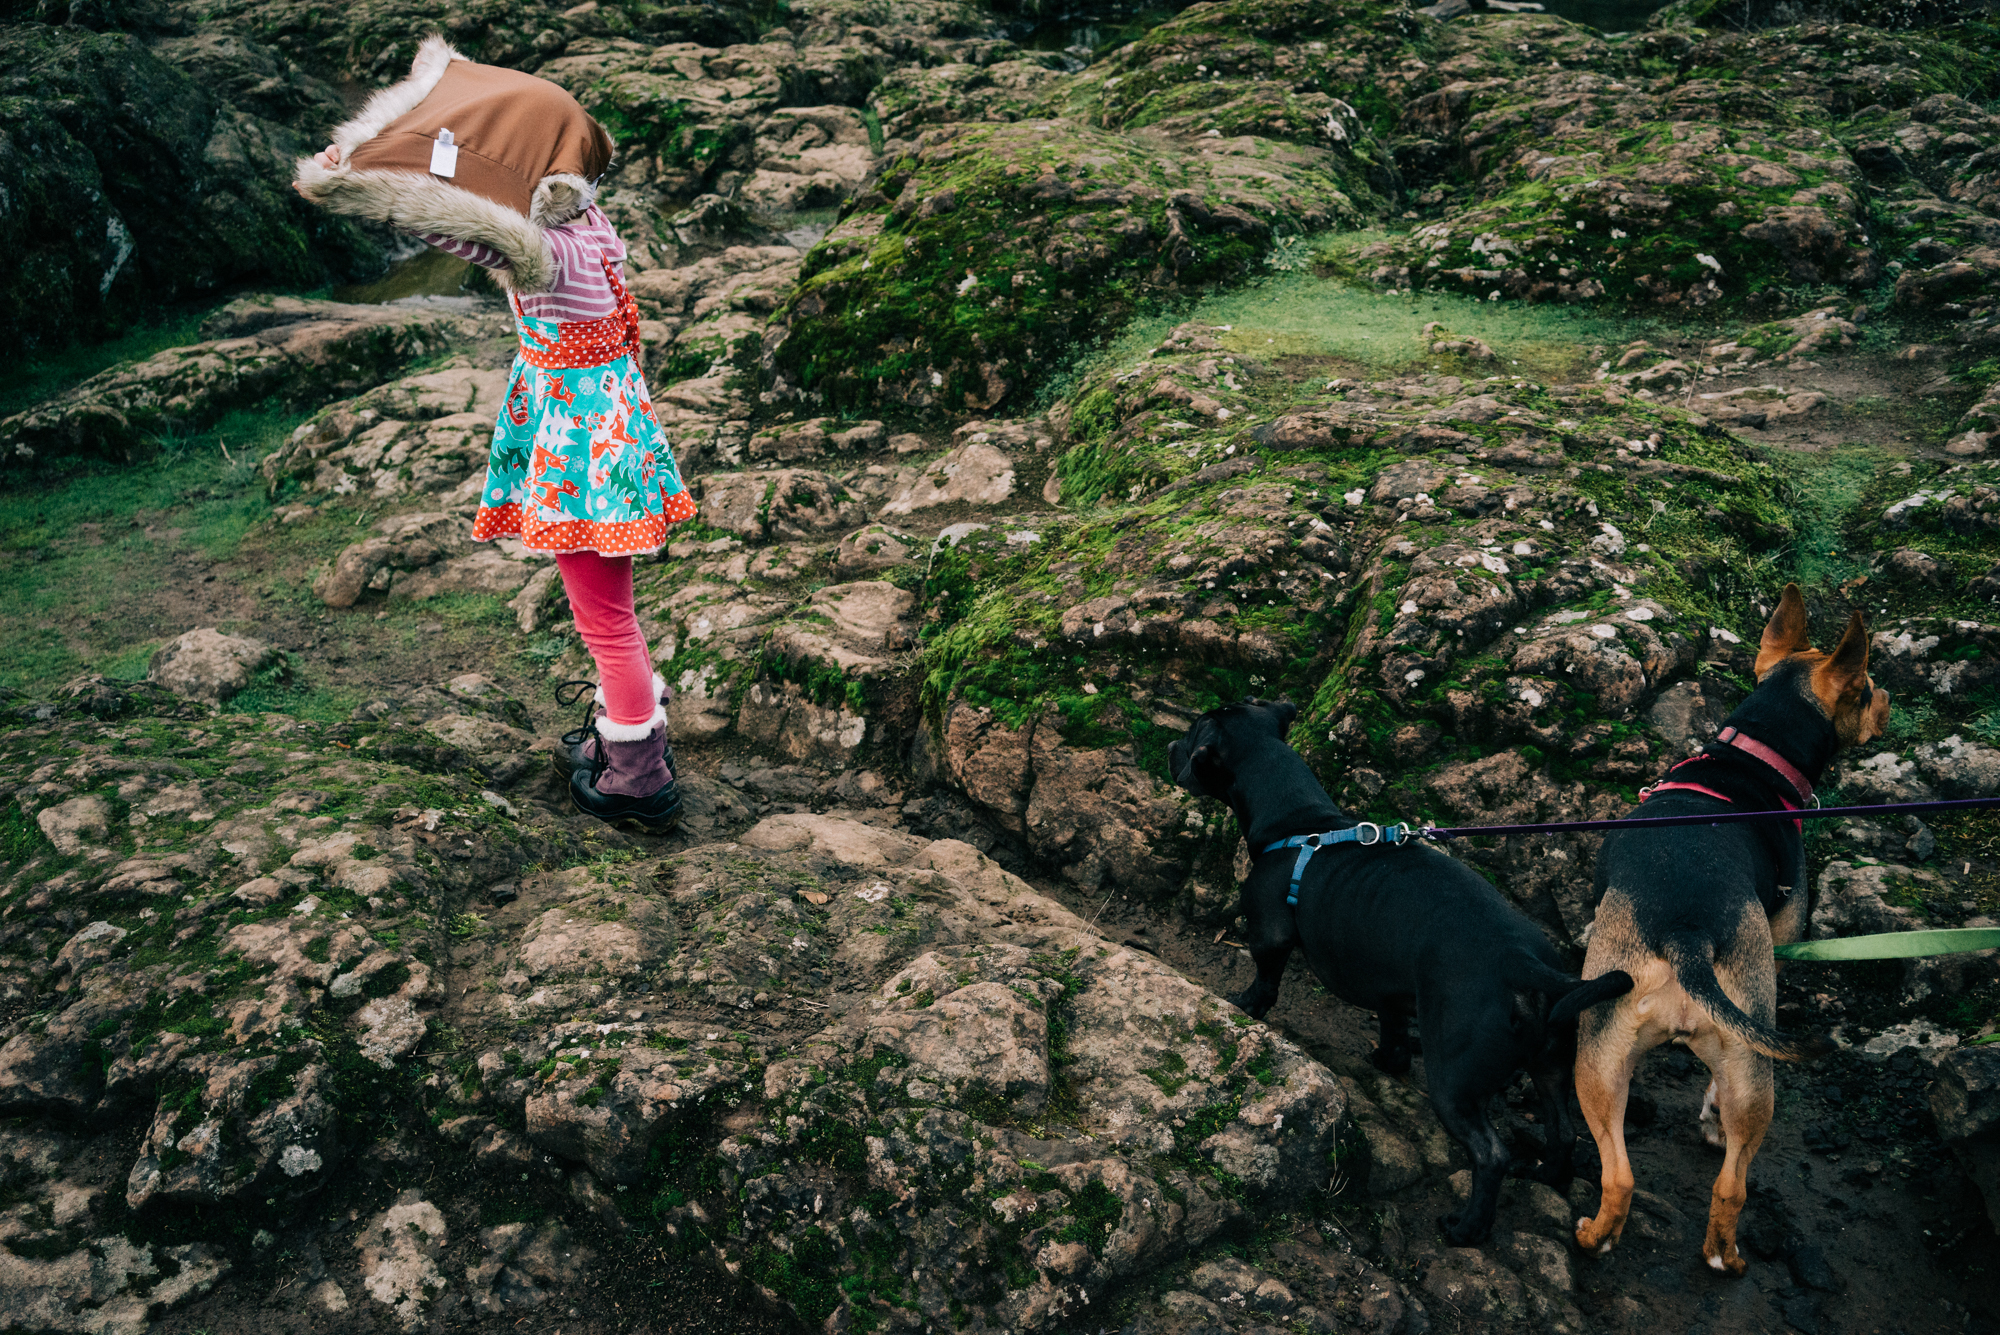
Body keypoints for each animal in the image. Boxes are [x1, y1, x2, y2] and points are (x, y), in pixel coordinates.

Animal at [1168, 699, 1632, 1239]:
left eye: (1193, 732)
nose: (1172, 744)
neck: (1300, 823)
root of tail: (1528, 966)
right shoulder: (1388, 986)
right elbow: (1390, 1025)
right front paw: (1387, 1059)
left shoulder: (1270, 937)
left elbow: (1264, 983)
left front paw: (1242, 1005)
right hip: (1551, 1064)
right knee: (1563, 1131)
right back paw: (1548, 1176)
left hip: (1454, 1077)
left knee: (1490, 1154)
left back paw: (1465, 1230)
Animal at [1576, 583, 1888, 1271]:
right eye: (1868, 686)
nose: (1887, 705)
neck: (1751, 757)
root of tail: (1686, 934)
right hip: (1749, 1050)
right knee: (1730, 1172)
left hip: (1601, 1055)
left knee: (1629, 1175)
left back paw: (1607, 1236)